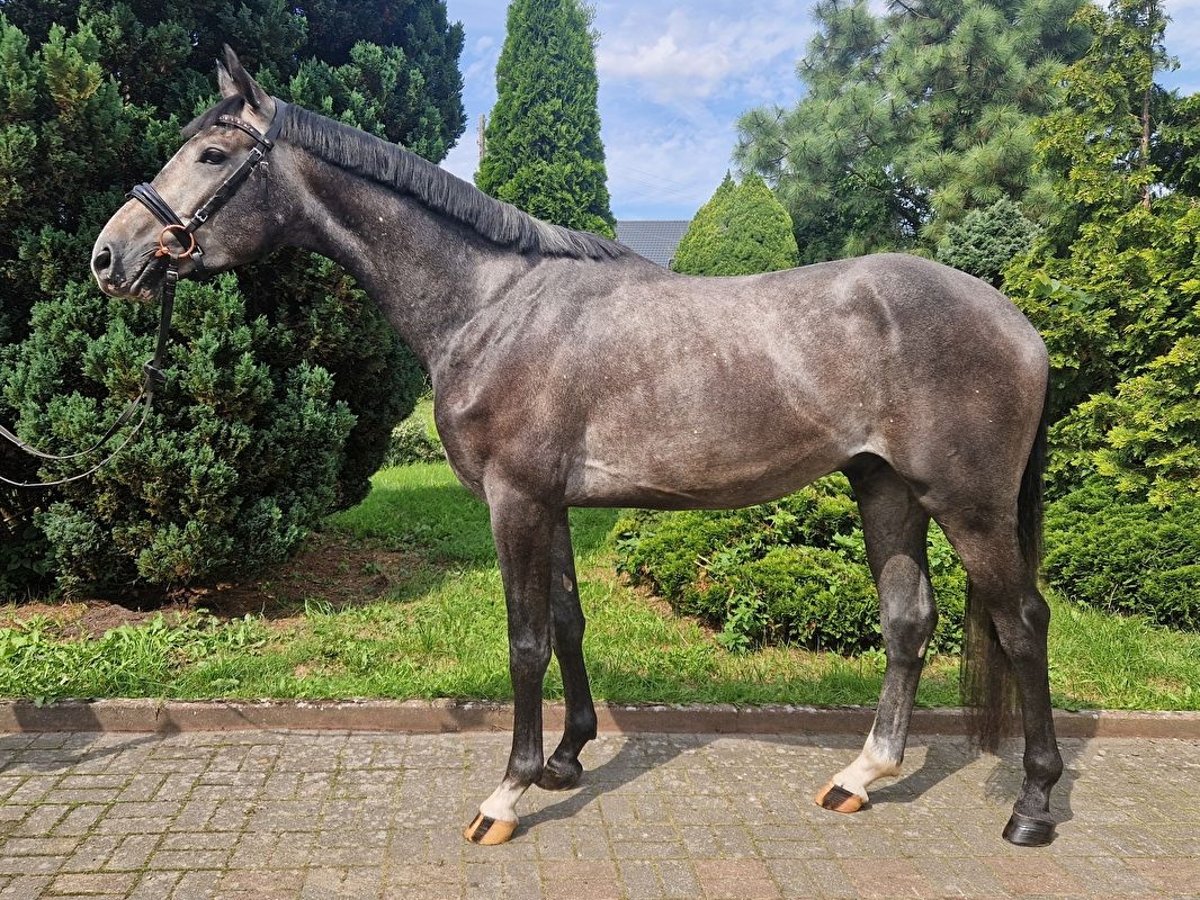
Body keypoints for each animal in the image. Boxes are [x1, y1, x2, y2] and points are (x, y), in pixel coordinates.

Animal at [96, 49, 1070, 849]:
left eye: (212, 156)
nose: (111, 258)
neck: (489, 304)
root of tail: (1017, 321)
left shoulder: (516, 500)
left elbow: (525, 640)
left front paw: (508, 794)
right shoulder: (553, 503)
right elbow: (567, 623)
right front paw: (567, 758)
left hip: (966, 503)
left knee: (1023, 625)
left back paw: (1031, 807)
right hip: (884, 488)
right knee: (908, 622)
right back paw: (861, 777)